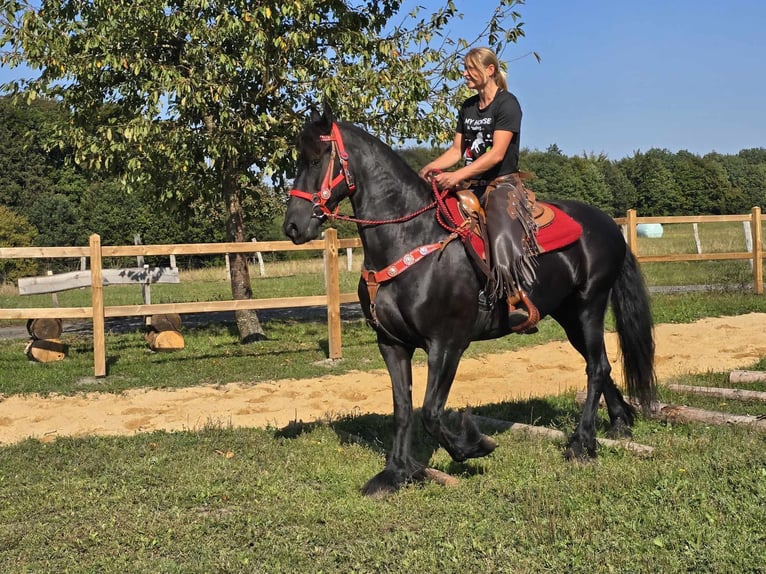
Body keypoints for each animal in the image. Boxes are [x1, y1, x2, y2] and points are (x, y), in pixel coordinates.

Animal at [284, 108, 656, 500]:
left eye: (315, 160)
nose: (292, 226)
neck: (410, 238)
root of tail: (608, 225)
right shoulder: (392, 344)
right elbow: (403, 409)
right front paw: (395, 473)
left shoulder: (447, 344)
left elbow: (431, 411)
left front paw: (473, 445)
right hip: (568, 315)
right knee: (600, 364)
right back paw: (619, 423)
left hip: (589, 305)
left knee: (596, 367)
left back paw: (582, 443)